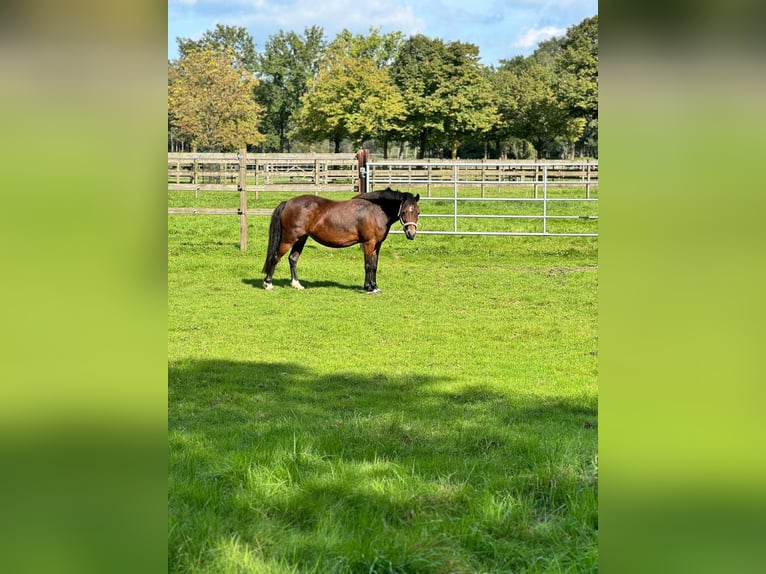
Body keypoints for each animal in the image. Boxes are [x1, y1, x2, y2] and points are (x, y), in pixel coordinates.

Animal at [262, 188, 421, 294]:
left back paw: (296, 284)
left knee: (293, 259)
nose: (411, 233)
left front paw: (375, 287)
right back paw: (268, 284)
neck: (375, 211)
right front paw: (368, 288)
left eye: (418, 212)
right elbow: (368, 265)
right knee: (275, 257)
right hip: (289, 239)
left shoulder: (377, 244)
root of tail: (288, 202)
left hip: (301, 239)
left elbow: (374, 265)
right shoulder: (368, 243)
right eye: (404, 211)